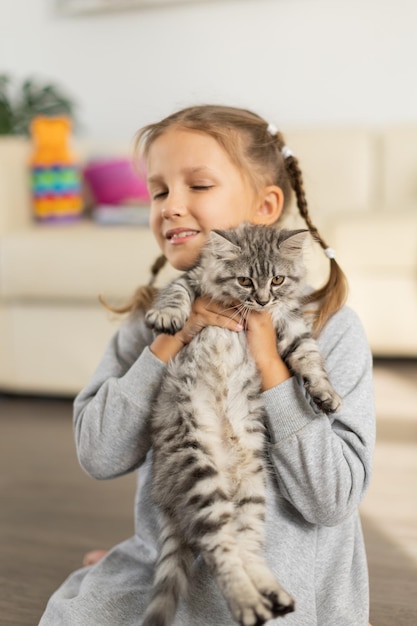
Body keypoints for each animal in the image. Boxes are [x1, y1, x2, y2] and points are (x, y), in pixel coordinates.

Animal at [143, 222, 342, 620]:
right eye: (246, 281)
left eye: (278, 279)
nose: (263, 301)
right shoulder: (190, 279)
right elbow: (175, 294)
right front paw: (167, 317)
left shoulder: (290, 322)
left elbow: (309, 357)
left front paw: (325, 394)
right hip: (198, 470)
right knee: (222, 550)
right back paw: (249, 604)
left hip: (252, 490)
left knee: (245, 550)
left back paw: (271, 595)